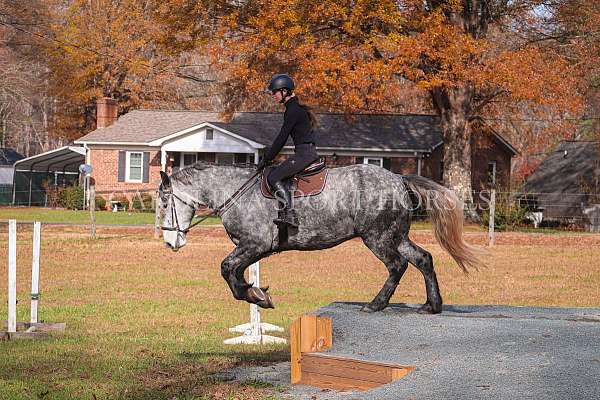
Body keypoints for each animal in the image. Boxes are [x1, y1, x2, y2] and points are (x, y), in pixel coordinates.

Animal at [159, 162, 482, 312]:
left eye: (163, 201)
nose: (170, 243)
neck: (235, 192)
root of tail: (399, 179)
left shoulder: (255, 244)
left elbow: (226, 268)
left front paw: (256, 296)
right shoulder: (253, 249)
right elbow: (234, 272)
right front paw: (257, 292)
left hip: (377, 237)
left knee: (397, 265)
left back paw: (375, 304)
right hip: (395, 235)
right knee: (423, 259)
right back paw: (432, 304)